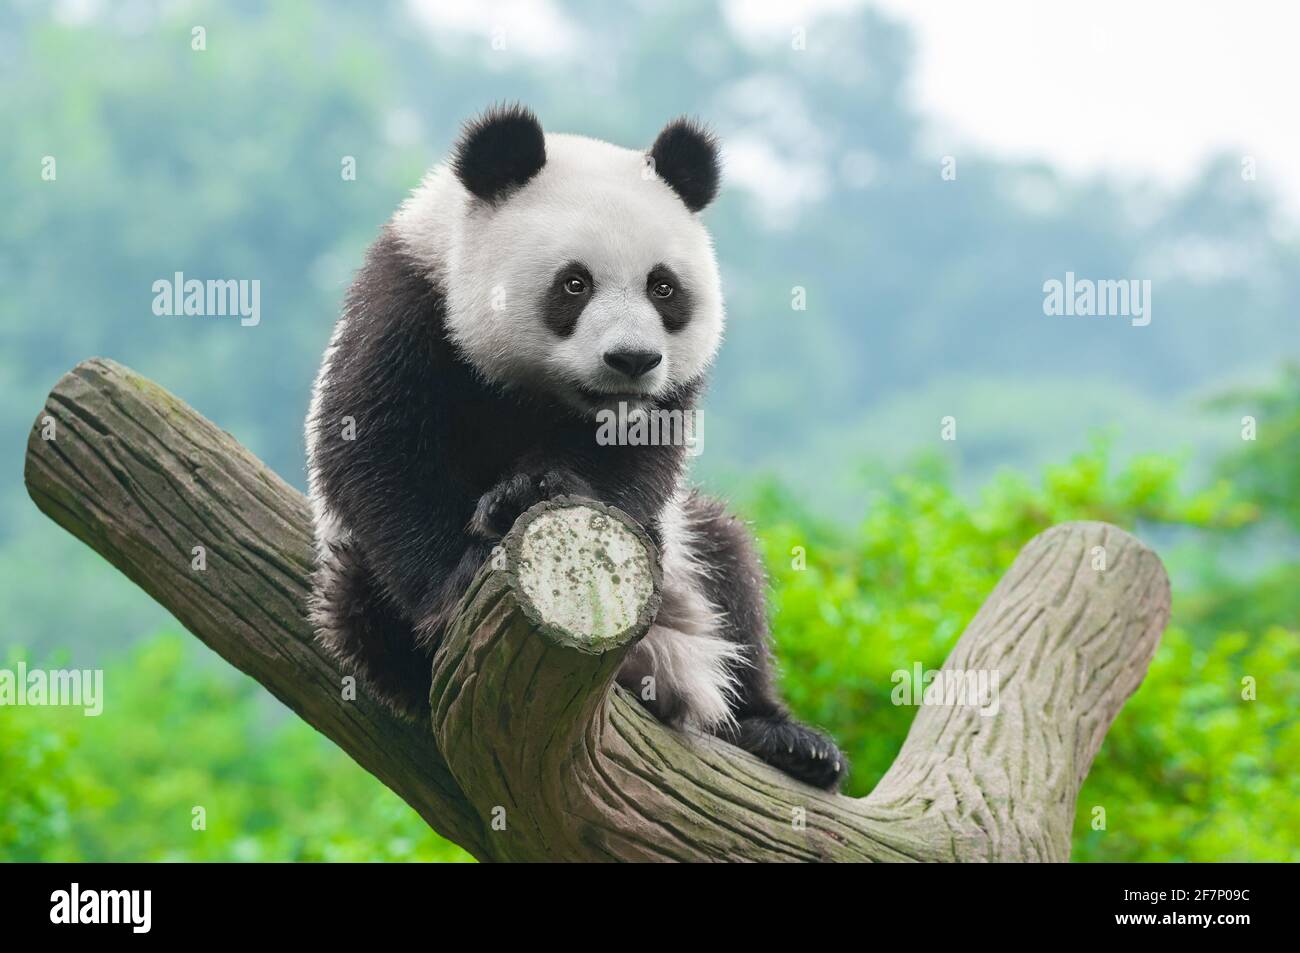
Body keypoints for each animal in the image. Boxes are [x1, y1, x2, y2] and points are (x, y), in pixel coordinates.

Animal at [308, 104, 847, 790]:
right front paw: (461, 576)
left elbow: (633, 461)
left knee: (730, 568)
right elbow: (379, 453)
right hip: (352, 575)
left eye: (663, 288)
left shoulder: (663, 400)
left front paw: (533, 489)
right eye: (574, 284)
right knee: (356, 604)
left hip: (687, 569)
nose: (632, 359)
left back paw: (787, 740)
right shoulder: (409, 304)